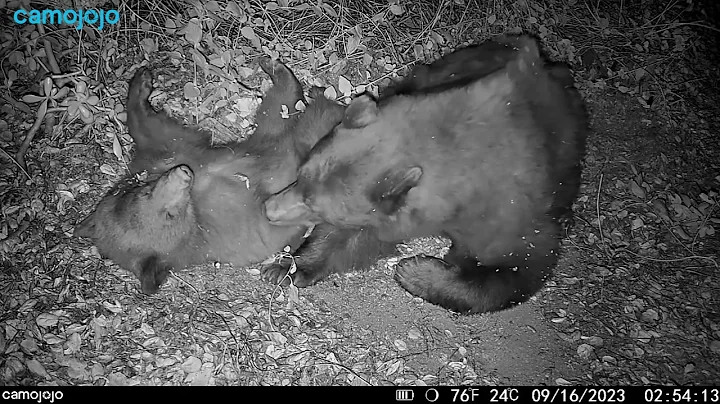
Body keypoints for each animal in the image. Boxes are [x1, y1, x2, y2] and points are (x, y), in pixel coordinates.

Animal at [74, 59, 355, 294]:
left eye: (144, 193)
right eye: (170, 214)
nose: (183, 174)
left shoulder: (166, 156)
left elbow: (154, 131)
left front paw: (140, 82)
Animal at [263, 35, 589, 314]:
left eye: (313, 204)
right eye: (301, 174)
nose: (269, 209)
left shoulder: (508, 205)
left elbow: (520, 262)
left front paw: (415, 271)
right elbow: (351, 236)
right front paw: (287, 267)